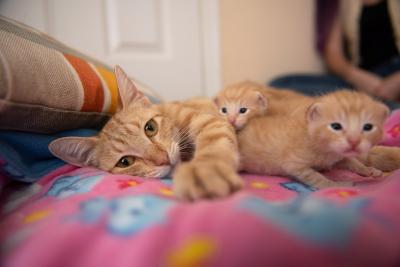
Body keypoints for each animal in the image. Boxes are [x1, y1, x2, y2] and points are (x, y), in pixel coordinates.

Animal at [50, 66, 244, 201]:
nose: (163, 159)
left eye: (150, 127)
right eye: (125, 162)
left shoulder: (209, 121)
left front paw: (205, 170)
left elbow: (214, 144)